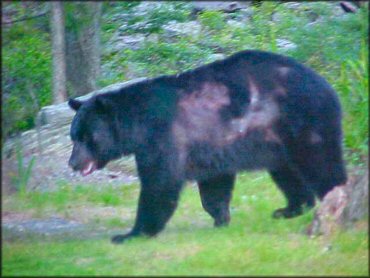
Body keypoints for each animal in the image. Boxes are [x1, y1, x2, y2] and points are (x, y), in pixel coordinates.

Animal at [68, 49, 346, 243]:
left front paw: (131, 234)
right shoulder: (211, 142)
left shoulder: (163, 137)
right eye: (74, 136)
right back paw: (290, 208)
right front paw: (220, 218)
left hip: (304, 121)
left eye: (86, 137)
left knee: (322, 164)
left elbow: (160, 184)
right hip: (276, 139)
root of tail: (328, 86)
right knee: (287, 172)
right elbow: (214, 184)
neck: (138, 123)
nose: (73, 163)